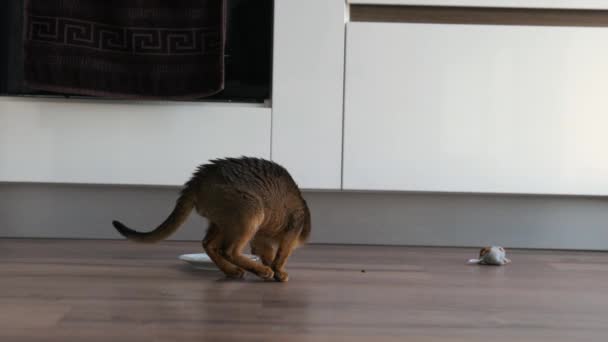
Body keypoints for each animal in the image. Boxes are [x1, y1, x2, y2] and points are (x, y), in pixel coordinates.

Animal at [112, 156, 312, 282]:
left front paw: (272, 267)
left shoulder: (261, 238)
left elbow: (268, 253)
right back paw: (260, 271)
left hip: (222, 221)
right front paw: (278, 271)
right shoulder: (293, 226)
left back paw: (233, 271)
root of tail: (197, 179)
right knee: (229, 250)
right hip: (251, 209)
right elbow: (282, 254)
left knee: (208, 244)